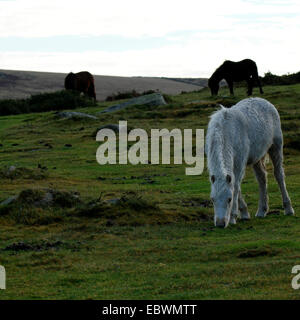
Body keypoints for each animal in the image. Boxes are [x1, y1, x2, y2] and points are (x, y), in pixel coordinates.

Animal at [205, 97, 294, 228]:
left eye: (229, 199)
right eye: (212, 199)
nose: (221, 224)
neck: (226, 131)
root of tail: (265, 101)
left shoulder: (239, 164)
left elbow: (236, 187)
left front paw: (233, 217)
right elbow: (237, 186)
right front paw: (244, 213)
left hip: (276, 147)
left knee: (279, 175)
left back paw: (288, 209)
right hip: (257, 158)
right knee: (262, 178)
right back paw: (262, 210)